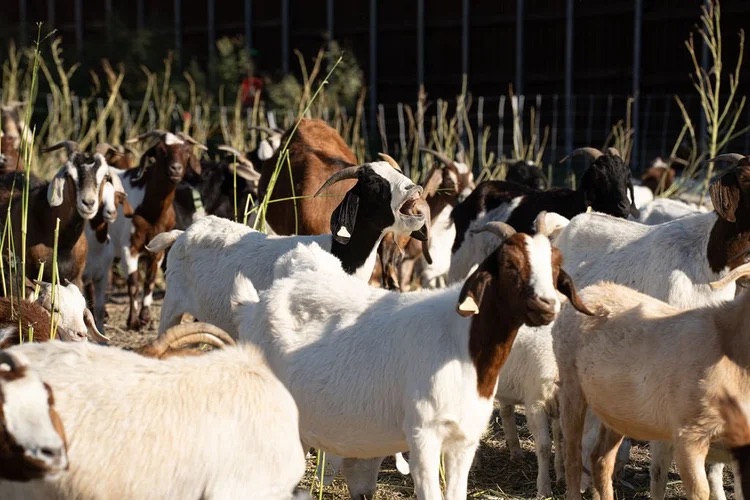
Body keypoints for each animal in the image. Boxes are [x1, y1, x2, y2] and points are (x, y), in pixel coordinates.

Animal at [105, 129, 205, 330]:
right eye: (160, 150)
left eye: (187, 151)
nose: (175, 169)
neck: (150, 211)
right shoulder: (129, 247)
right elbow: (133, 282)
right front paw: (133, 321)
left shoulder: (158, 250)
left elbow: (149, 281)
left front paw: (145, 317)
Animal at [234, 213, 594, 500]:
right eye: (509, 264)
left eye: (556, 267)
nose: (546, 305)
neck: (461, 343)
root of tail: (253, 305)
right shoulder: (423, 434)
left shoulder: (464, 439)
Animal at [552, 260, 750, 500]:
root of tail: (589, 290)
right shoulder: (689, 435)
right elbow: (699, 492)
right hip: (570, 383)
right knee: (572, 455)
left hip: (617, 408)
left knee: (600, 459)